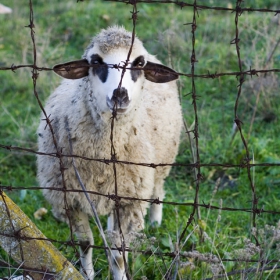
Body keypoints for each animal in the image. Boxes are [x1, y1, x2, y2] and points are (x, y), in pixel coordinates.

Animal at [36, 26, 182, 280]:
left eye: (139, 63)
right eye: (96, 61)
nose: (120, 95)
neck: (102, 158)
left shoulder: (129, 200)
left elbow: (118, 254)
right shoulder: (71, 198)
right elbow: (85, 243)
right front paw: (87, 274)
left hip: (161, 163)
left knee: (158, 189)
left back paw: (155, 220)